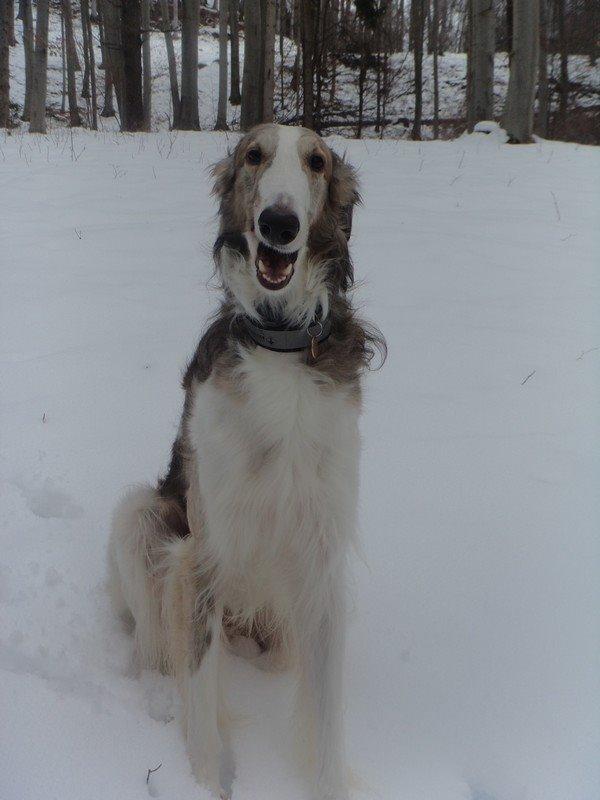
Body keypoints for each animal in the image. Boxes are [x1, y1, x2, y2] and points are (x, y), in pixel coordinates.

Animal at [109, 123, 384, 800]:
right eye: (254, 155)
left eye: (316, 162)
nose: (278, 223)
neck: (282, 344)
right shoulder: (204, 556)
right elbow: (203, 710)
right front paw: (206, 779)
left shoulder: (321, 558)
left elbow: (326, 722)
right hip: (139, 518)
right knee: (158, 652)